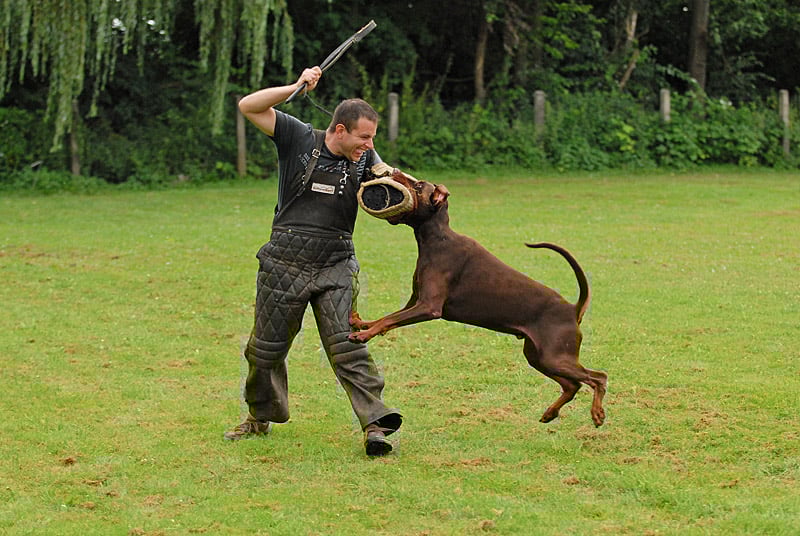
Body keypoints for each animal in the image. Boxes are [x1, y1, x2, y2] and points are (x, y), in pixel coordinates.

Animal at [350, 169, 608, 427]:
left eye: (419, 184)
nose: (390, 171)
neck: (436, 238)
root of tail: (573, 310)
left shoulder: (429, 306)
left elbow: (389, 319)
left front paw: (364, 335)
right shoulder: (415, 301)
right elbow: (386, 317)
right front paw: (362, 324)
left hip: (555, 356)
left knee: (598, 377)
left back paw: (597, 413)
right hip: (538, 356)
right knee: (572, 385)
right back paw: (550, 413)